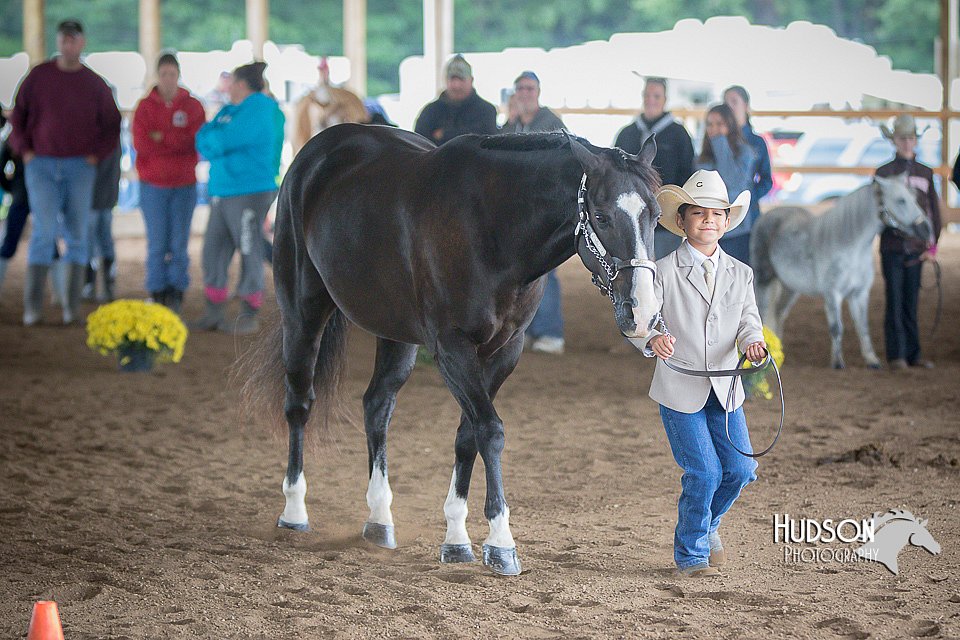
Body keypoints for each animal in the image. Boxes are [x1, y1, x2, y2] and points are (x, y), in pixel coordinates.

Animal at [752, 175, 928, 368]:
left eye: (914, 197)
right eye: (901, 200)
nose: (925, 229)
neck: (852, 247)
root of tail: (766, 217)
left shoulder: (859, 294)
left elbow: (863, 326)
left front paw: (872, 360)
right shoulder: (833, 293)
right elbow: (837, 327)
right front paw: (837, 362)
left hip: (790, 287)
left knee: (779, 313)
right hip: (763, 279)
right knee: (763, 312)